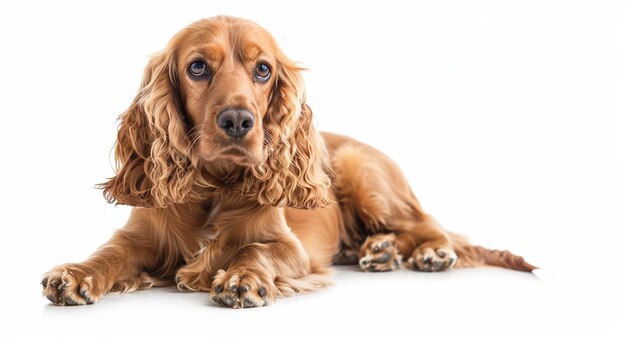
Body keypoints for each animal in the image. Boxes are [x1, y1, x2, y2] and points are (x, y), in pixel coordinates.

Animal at [41, 15, 532, 308]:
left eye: (263, 69)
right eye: (197, 67)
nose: (238, 120)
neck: (215, 185)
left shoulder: (291, 248)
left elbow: (256, 249)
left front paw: (241, 277)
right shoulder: (139, 236)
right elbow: (110, 252)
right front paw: (75, 274)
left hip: (366, 178)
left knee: (426, 224)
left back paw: (428, 252)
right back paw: (378, 251)